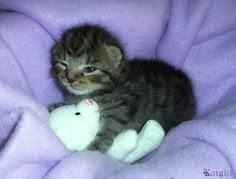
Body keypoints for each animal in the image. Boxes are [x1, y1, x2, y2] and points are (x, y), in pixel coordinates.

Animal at [50, 24, 196, 152]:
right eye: (64, 64)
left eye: (90, 69)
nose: (70, 79)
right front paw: (56, 106)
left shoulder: (120, 110)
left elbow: (108, 130)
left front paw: (92, 149)